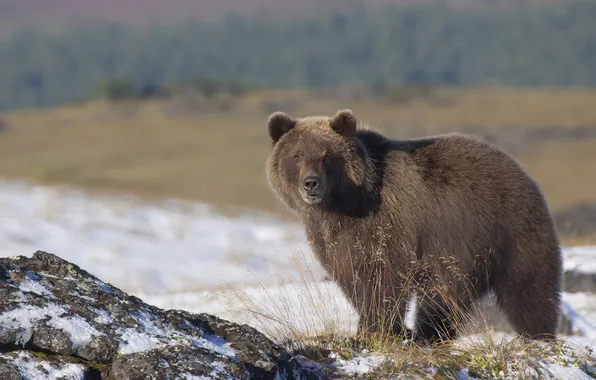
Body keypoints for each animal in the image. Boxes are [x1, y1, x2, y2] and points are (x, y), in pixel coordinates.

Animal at [266, 108, 564, 342]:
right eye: (297, 155)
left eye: (327, 155)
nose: (311, 183)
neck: (342, 206)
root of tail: (520, 170)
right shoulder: (333, 238)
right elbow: (352, 279)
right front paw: (382, 327)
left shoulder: (389, 225)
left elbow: (383, 278)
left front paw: (376, 328)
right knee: (445, 299)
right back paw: (431, 333)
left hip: (509, 232)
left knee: (529, 291)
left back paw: (538, 336)